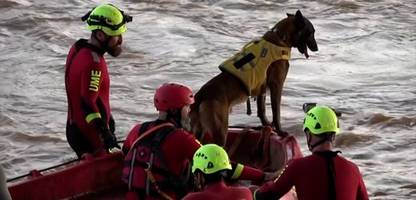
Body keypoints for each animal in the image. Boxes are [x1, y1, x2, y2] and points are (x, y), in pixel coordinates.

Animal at [191, 10, 318, 145]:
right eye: (311, 32)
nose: (317, 48)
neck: (280, 37)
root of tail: (200, 96)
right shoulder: (277, 86)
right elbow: (276, 113)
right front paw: (280, 131)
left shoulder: (261, 89)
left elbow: (261, 110)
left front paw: (267, 126)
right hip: (220, 131)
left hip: (199, 132)